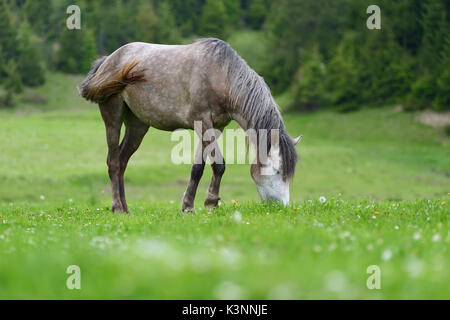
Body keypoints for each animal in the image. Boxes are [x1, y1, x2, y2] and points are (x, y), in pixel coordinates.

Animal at [78, 38, 300, 212]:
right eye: (276, 170)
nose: (282, 206)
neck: (220, 75)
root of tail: (107, 61)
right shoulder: (203, 122)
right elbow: (219, 165)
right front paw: (211, 203)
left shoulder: (213, 128)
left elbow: (198, 167)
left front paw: (188, 206)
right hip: (113, 117)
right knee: (114, 162)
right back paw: (117, 207)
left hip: (137, 126)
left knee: (122, 161)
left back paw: (126, 209)